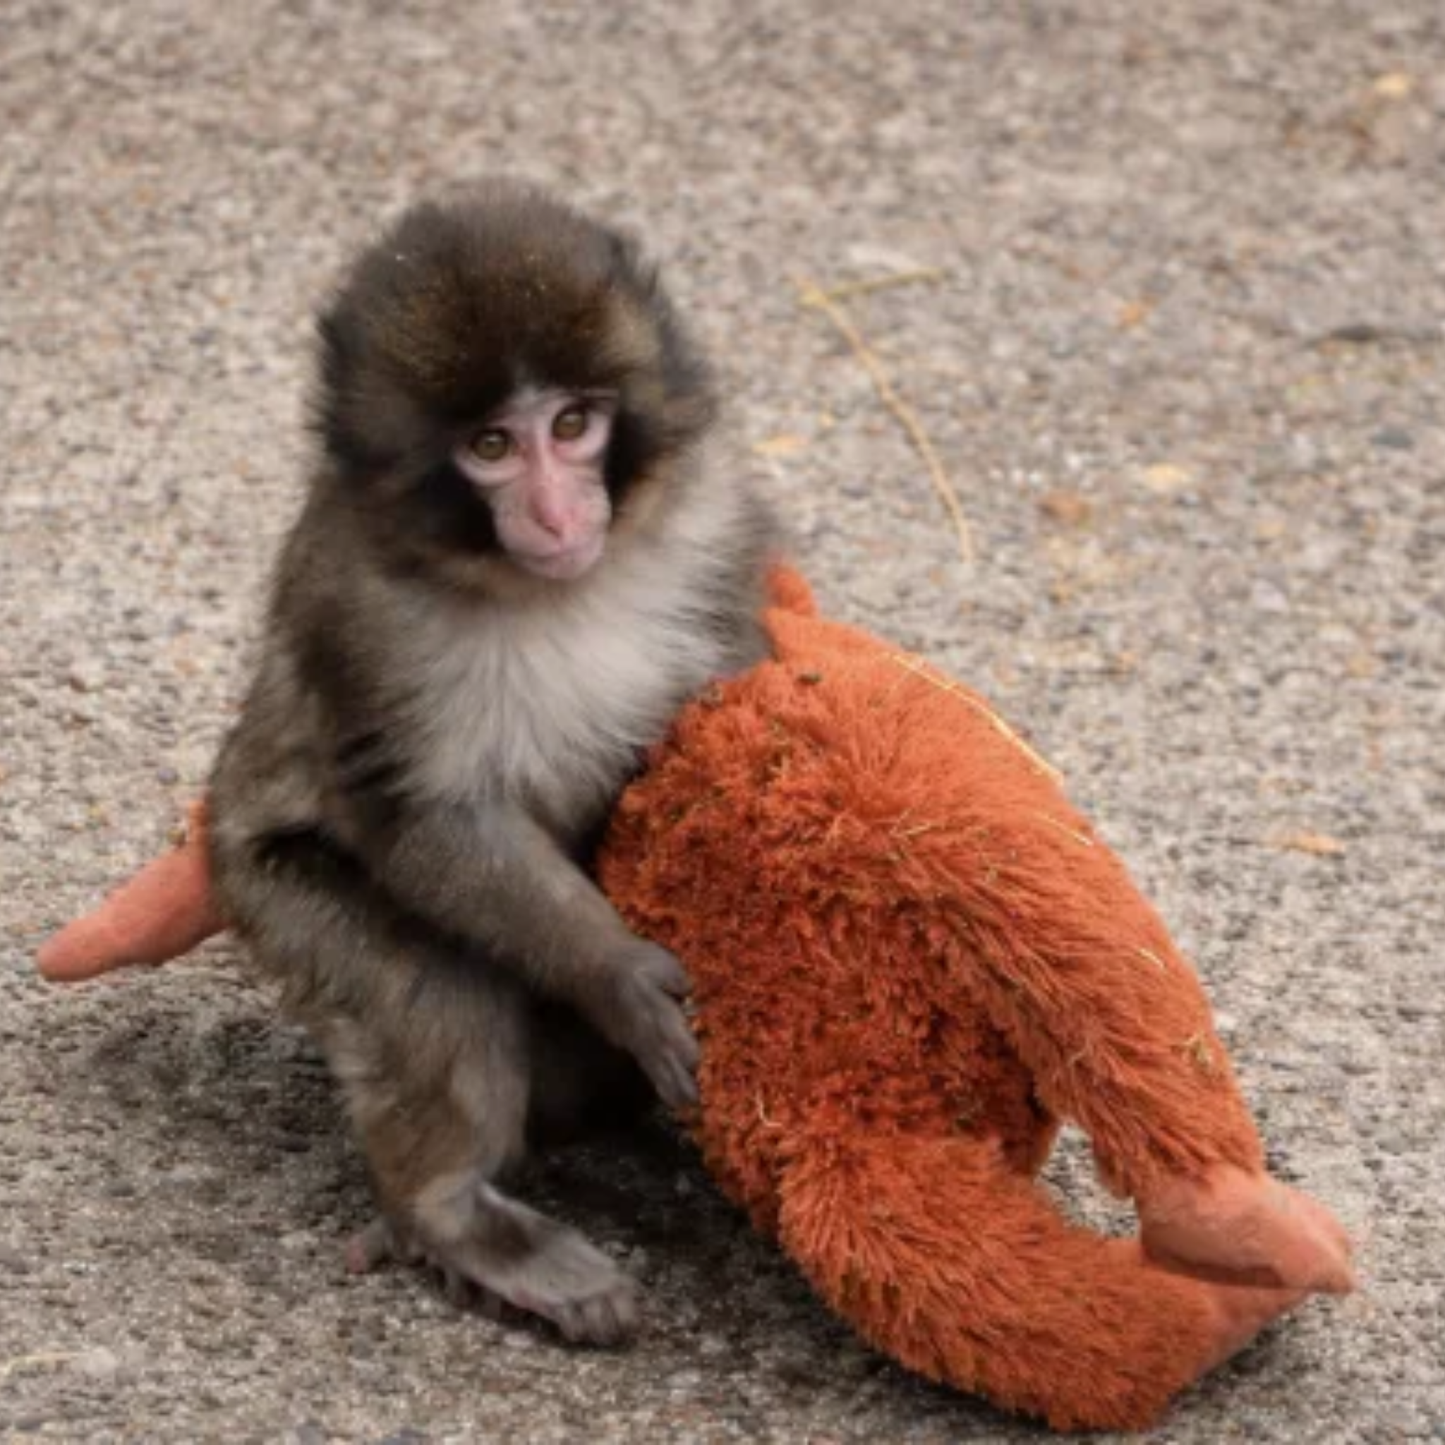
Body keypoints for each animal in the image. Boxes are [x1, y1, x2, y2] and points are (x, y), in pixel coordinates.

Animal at [207, 181, 777, 1345]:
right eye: (489, 444)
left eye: (570, 424)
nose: (557, 511)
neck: (548, 587)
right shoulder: (357, 608)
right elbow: (427, 815)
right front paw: (613, 970)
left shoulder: (717, 516)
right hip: (270, 895)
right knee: (434, 983)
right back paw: (456, 1215)